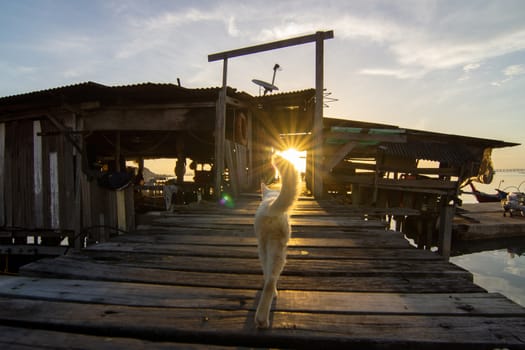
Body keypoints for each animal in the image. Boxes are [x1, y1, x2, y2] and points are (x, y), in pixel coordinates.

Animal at [254, 153, 298, 328]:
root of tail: (270, 206)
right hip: (278, 247)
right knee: (271, 278)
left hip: (268, 246)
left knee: (269, 278)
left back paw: (261, 319)